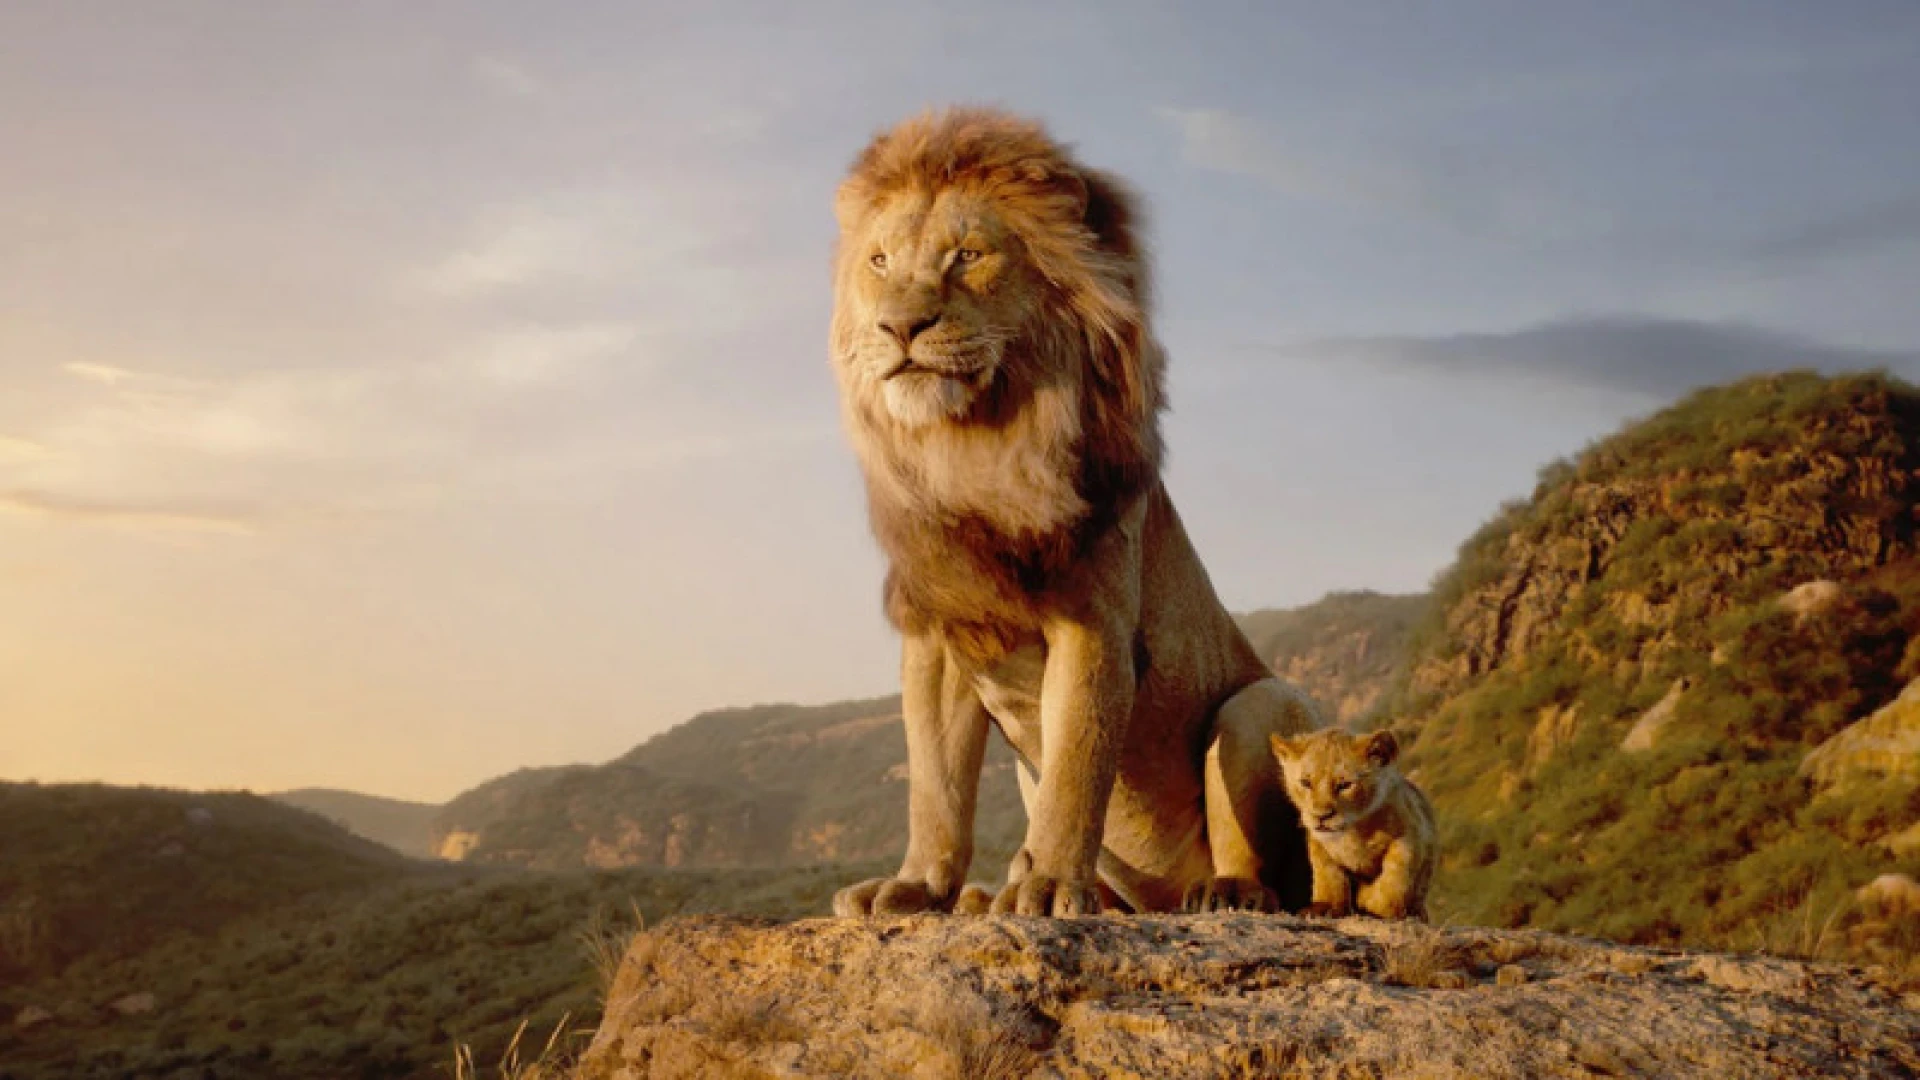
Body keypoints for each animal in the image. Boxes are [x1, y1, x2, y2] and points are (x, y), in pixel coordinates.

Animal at [827, 107, 1322, 918]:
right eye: (879, 262)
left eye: (967, 256)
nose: (899, 328)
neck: (974, 449)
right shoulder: (939, 633)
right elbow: (935, 785)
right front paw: (918, 886)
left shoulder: (1094, 622)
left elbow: (1076, 767)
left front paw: (1052, 885)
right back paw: (989, 896)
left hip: (1259, 704)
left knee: (1265, 867)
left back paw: (1222, 893)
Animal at [1268, 729, 1437, 920]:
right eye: (1305, 783)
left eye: (1344, 785)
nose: (1321, 816)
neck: (1352, 831)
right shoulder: (1319, 843)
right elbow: (1328, 874)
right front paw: (1326, 906)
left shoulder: (1411, 833)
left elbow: (1395, 874)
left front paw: (1374, 904)